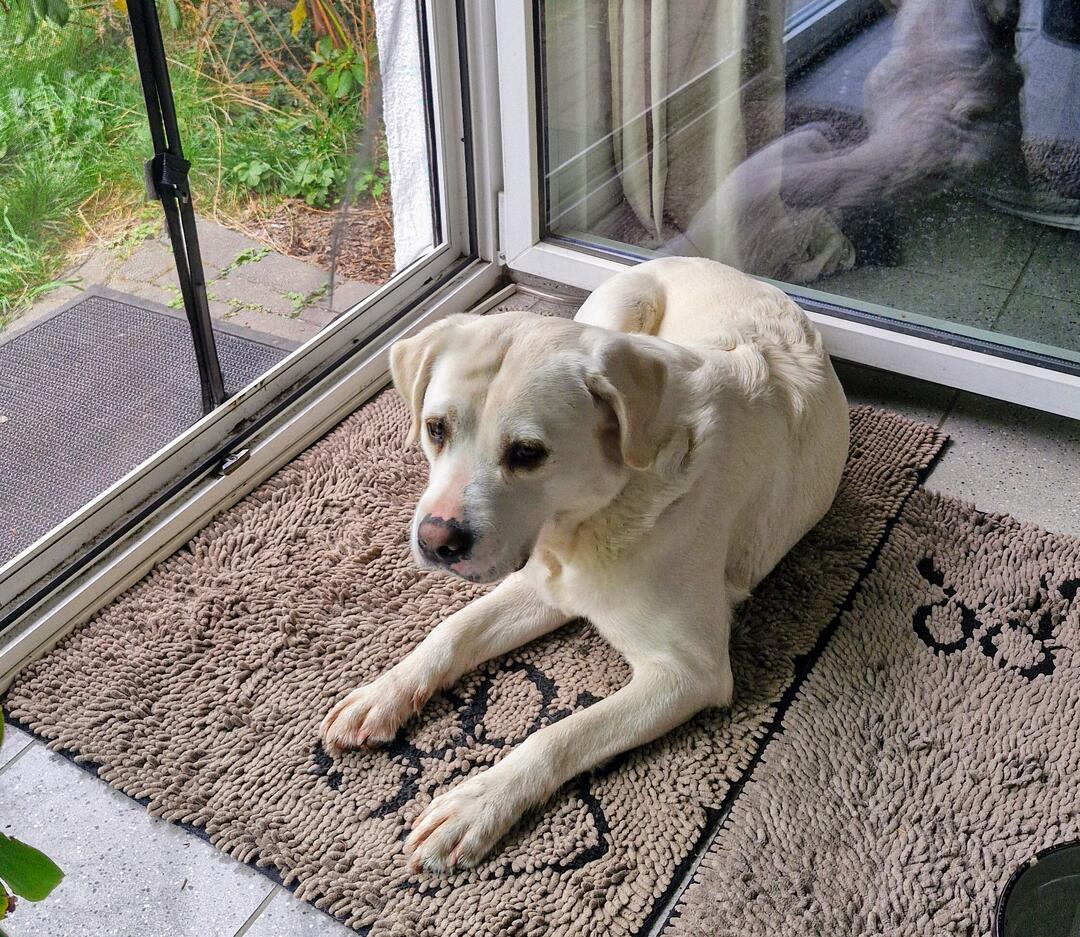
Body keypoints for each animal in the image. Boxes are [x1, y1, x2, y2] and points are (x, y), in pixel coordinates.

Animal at [320, 257, 849, 872]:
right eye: (435, 429)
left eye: (527, 454)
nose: (436, 541)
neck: (593, 515)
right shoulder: (544, 579)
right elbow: (453, 629)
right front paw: (383, 693)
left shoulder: (689, 672)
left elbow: (561, 733)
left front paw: (478, 803)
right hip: (620, 309)